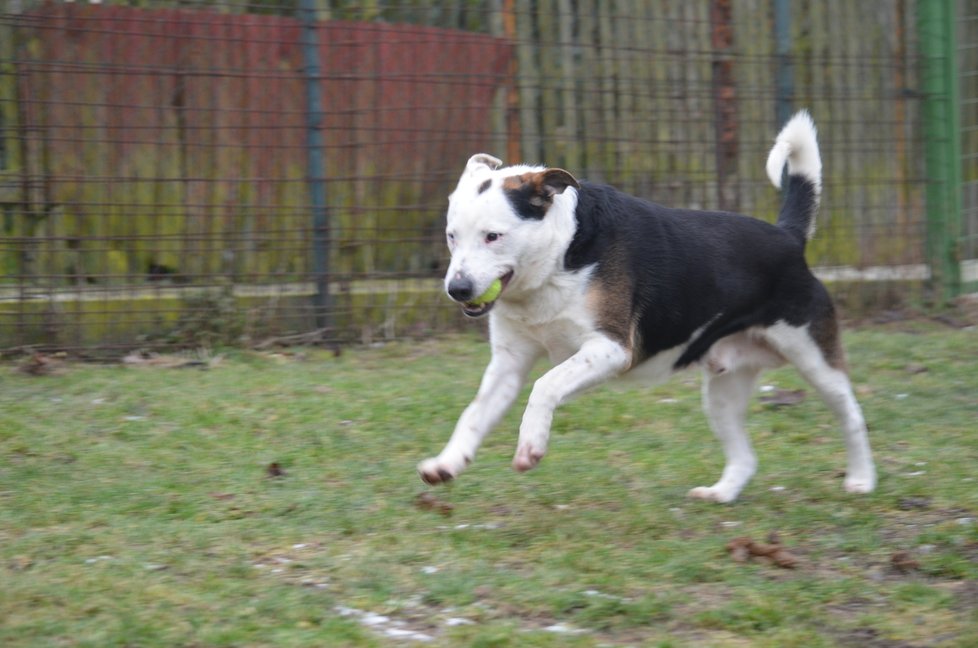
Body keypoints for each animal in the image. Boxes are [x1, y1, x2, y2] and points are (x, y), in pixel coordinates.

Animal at [416, 111, 872, 504]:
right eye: (452, 236)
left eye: (493, 236)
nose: (457, 288)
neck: (559, 258)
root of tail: (788, 237)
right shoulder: (509, 363)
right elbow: (474, 414)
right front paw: (447, 462)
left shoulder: (612, 349)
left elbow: (545, 385)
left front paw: (530, 445)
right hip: (723, 389)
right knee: (745, 456)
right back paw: (722, 492)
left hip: (814, 358)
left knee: (851, 415)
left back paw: (861, 479)